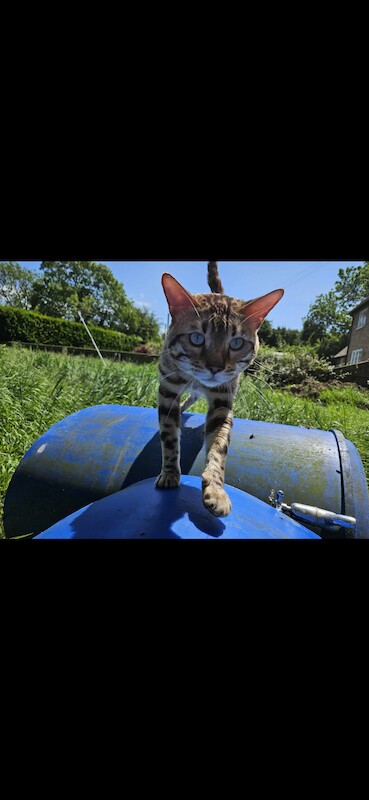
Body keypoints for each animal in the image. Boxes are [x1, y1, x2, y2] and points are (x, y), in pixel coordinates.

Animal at [154, 262, 284, 520]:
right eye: (196, 338)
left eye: (236, 343)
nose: (215, 368)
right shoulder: (168, 390)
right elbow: (169, 437)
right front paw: (170, 473)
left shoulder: (223, 400)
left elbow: (218, 448)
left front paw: (216, 491)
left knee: (194, 396)